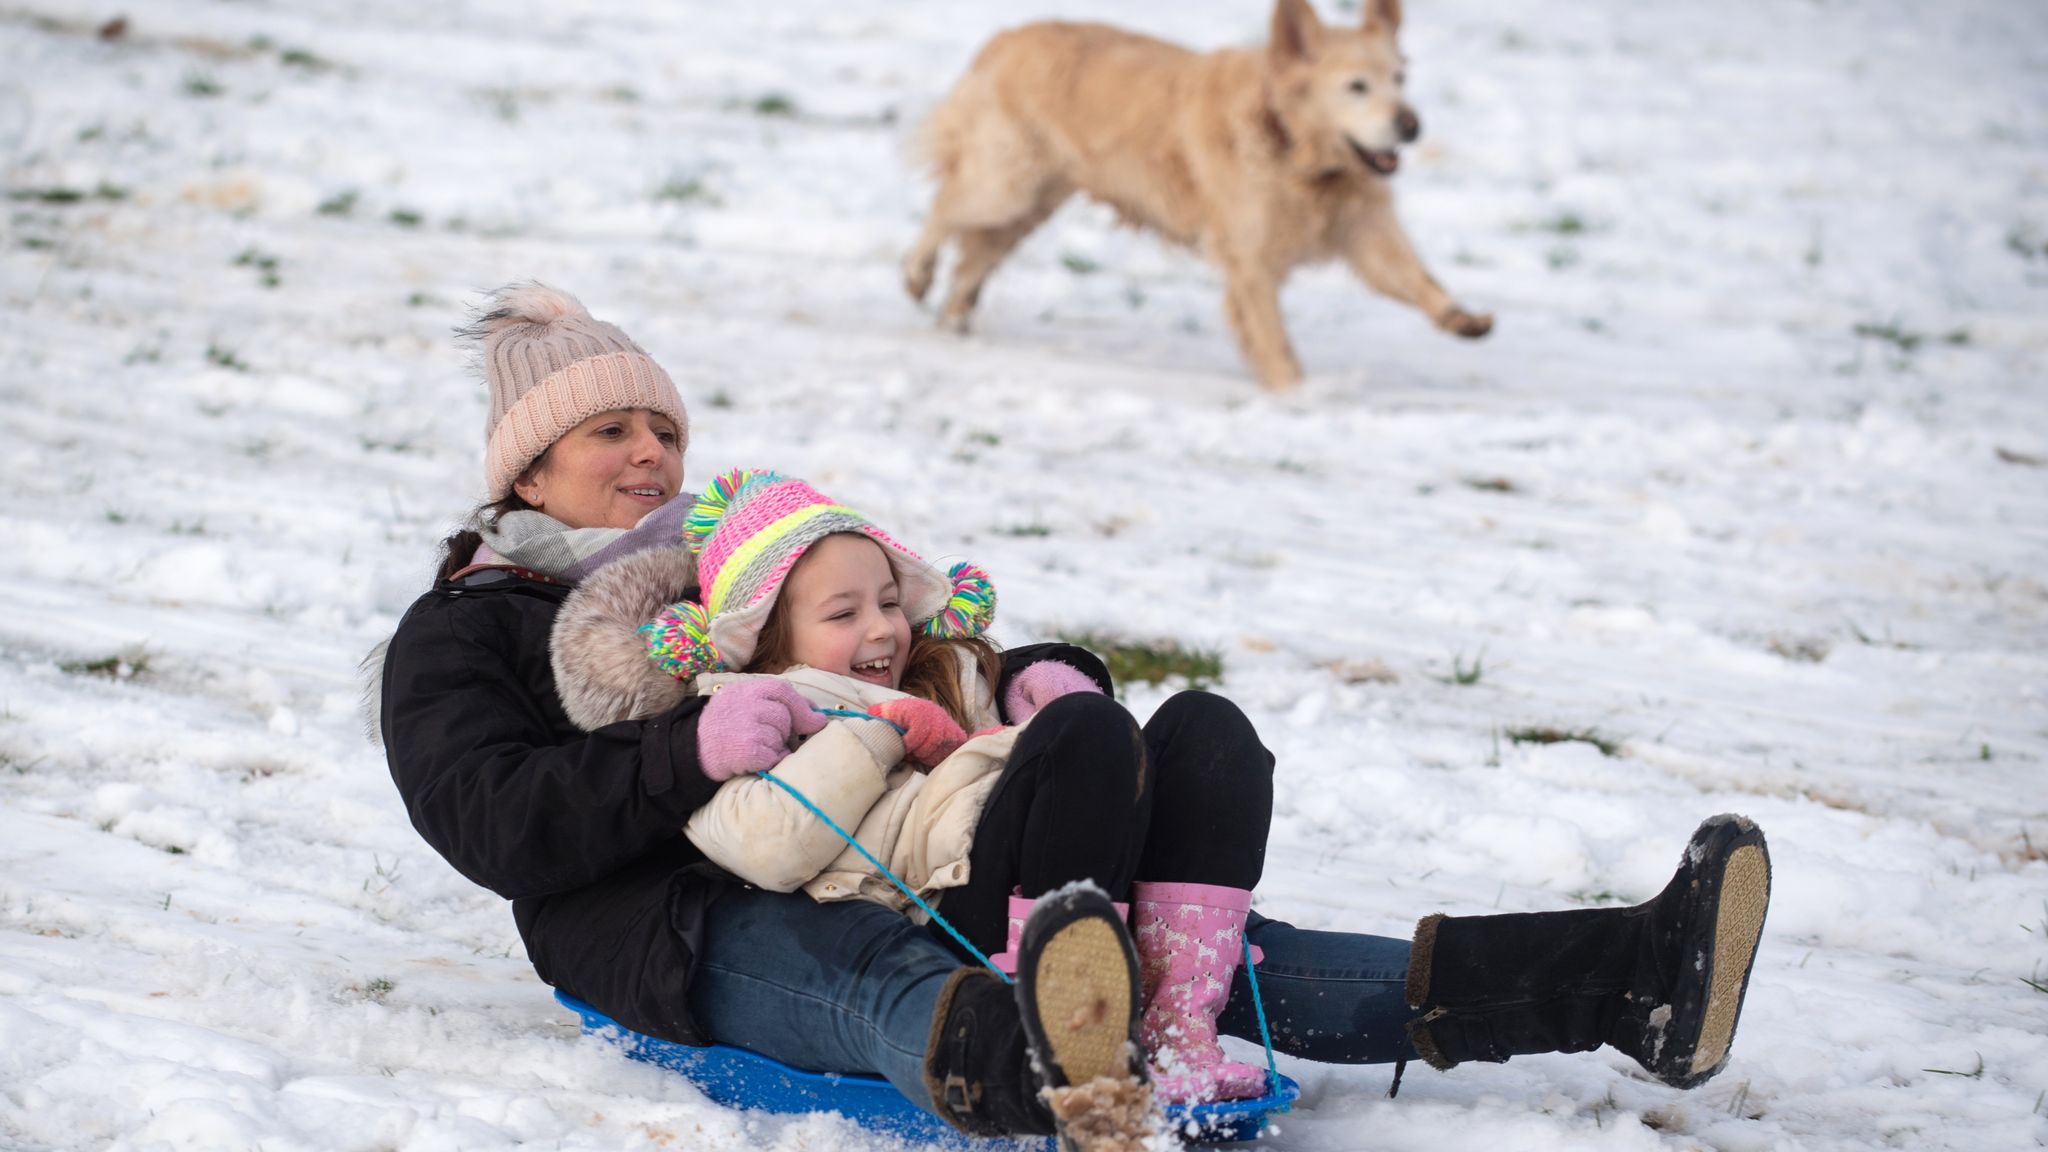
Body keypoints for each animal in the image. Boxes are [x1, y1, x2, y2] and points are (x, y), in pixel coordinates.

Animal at [909, 0, 1490, 389]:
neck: (1289, 145)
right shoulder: (1250, 259)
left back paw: (956, 316)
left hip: (1031, 204)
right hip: (1003, 186)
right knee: (942, 210)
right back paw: (917, 276)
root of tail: (1004, 38)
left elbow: (1416, 278)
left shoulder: (1364, 230)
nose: (1411, 125)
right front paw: (1296, 394)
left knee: (974, 256)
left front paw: (1462, 318)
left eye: (1400, 77)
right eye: (1357, 87)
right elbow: (1273, 340)